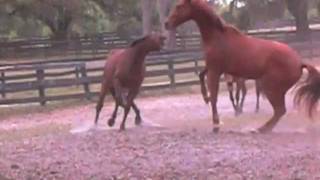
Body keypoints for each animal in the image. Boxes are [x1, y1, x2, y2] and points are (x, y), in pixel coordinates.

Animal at [165, 0, 320, 133]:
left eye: (179, 6)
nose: (167, 23)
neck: (218, 37)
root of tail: (299, 62)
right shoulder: (215, 68)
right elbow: (201, 76)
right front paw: (205, 97)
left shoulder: (215, 71)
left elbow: (214, 96)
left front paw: (216, 125)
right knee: (279, 111)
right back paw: (261, 129)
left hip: (270, 87)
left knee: (280, 110)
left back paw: (261, 129)